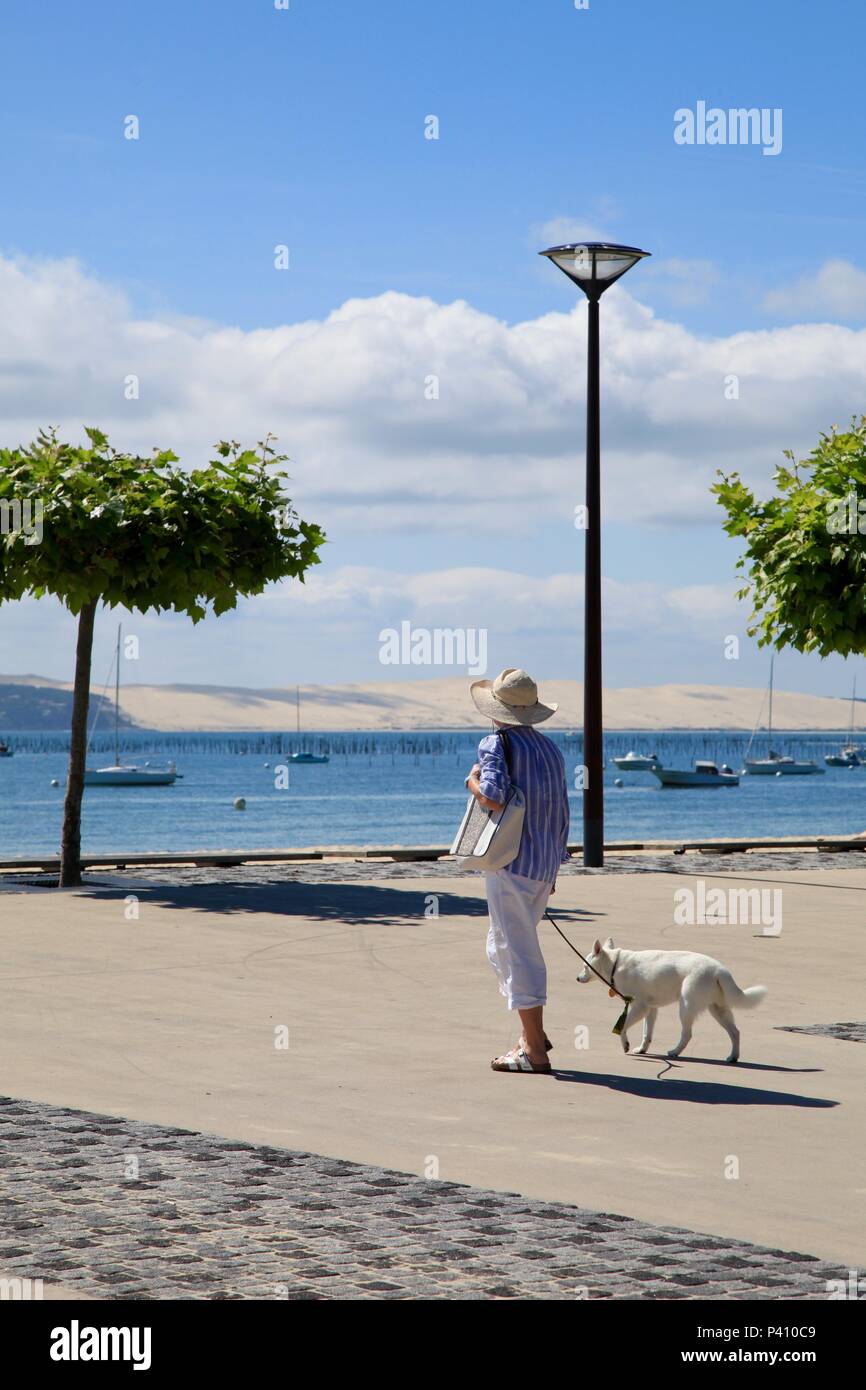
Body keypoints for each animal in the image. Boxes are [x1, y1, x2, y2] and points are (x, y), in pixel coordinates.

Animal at [578, 945, 767, 1061]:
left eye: (585, 966)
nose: (577, 978)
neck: (616, 964)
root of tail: (719, 970)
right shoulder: (650, 1010)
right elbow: (647, 1034)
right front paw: (642, 1049)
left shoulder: (639, 1007)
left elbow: (622, 1027)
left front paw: (625, 1045)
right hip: (718, 1010)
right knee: (735, 1033)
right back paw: (733, 1057)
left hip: (686, 1007)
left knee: (687, 1034)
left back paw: (675, 1052)